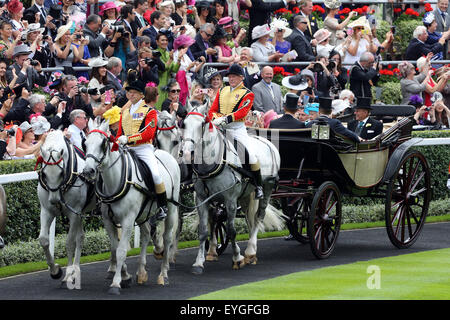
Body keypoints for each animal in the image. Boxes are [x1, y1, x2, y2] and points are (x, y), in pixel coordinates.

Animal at [36, 130, 96, 288]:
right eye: (44, 174)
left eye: (61, 173)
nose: (55, 200)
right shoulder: (47, 211)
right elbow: (44, 240)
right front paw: (55, 270)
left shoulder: (73, 214)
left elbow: (69, 243)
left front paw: (68, 275)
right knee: (81, 237)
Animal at [82, 118, 179, 296]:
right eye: (85, 144)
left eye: (103, 143)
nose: (88, 170)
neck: (116, 180)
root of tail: (166, 154)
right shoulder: (108, 220)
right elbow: (115, 248)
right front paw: (125, 276)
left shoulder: (127, 220)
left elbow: (121, 251)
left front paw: (116, 283)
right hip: (143, 215)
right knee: (146, 235)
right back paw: (141, 272)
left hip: (171, 209)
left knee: (167, 238)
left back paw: (163, 274)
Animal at [180, 103, 280, 272]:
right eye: (184, 124)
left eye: (202, 124)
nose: (187, 153)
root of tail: (268, 142)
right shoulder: (202, 199)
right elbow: (203, 231)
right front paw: (199, 262)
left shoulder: (231, 201)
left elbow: (231, 231)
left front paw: (237, 258)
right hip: (246, 195)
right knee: (249, 218)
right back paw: (250, 252)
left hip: (267, 188)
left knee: (259, 216)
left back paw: (250, 251)